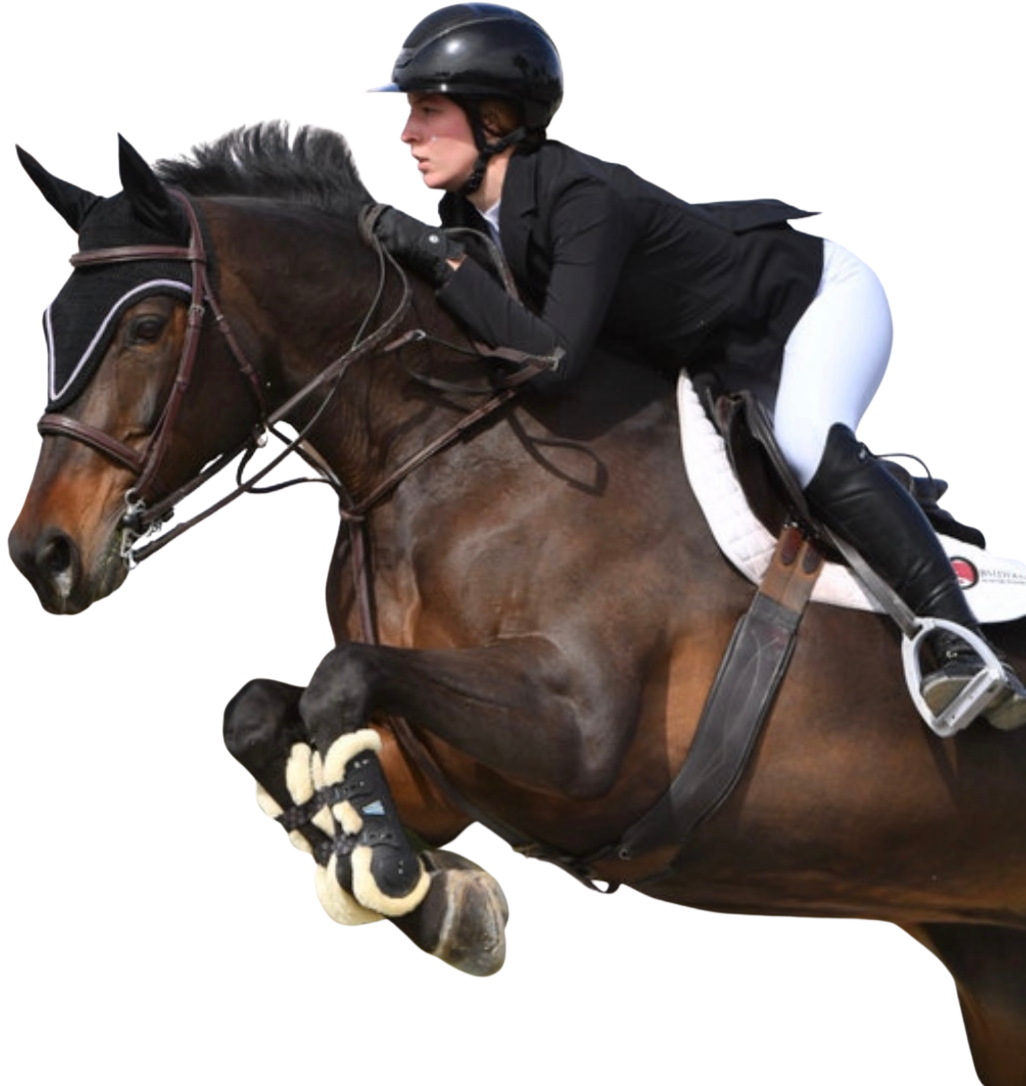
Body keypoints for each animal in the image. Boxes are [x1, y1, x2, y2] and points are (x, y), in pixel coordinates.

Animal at [9, 123, 1024, 1084]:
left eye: (146, 325)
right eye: (55, 322)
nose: (42, 555)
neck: (438, 445)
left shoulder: (586, 737)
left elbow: (342, 678)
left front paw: (401, 876)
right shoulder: (438, 768)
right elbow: (261, 710)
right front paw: (431, 892)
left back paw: (964, 672)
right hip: (993, 966)